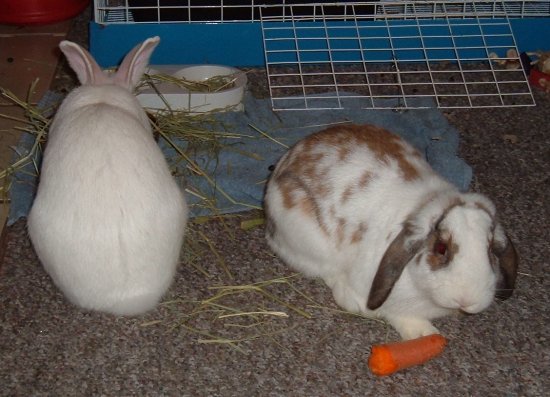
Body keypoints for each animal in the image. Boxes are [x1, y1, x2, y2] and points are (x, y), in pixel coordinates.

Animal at [266, 123, 520, 338]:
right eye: (441, 248)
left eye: (489, 251)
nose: (467, 299)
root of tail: (286, 161)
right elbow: (398, 315)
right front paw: (424, 334)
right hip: (308, 241)